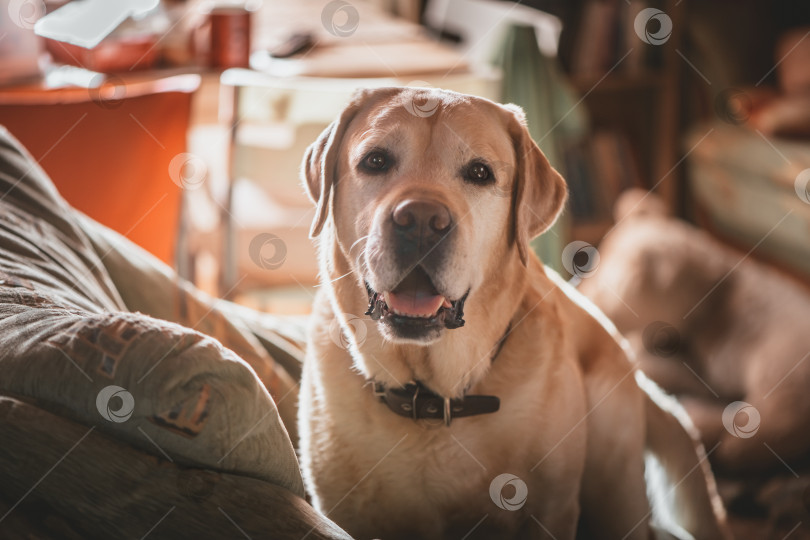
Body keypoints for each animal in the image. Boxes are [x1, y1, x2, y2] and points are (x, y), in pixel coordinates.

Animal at [296, 86, 724, 536]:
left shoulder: (551, 511)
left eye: (480, 173)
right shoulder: (343, 514)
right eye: (375, 161)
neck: (432, 395)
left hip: (615, 486)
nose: (421, 220)